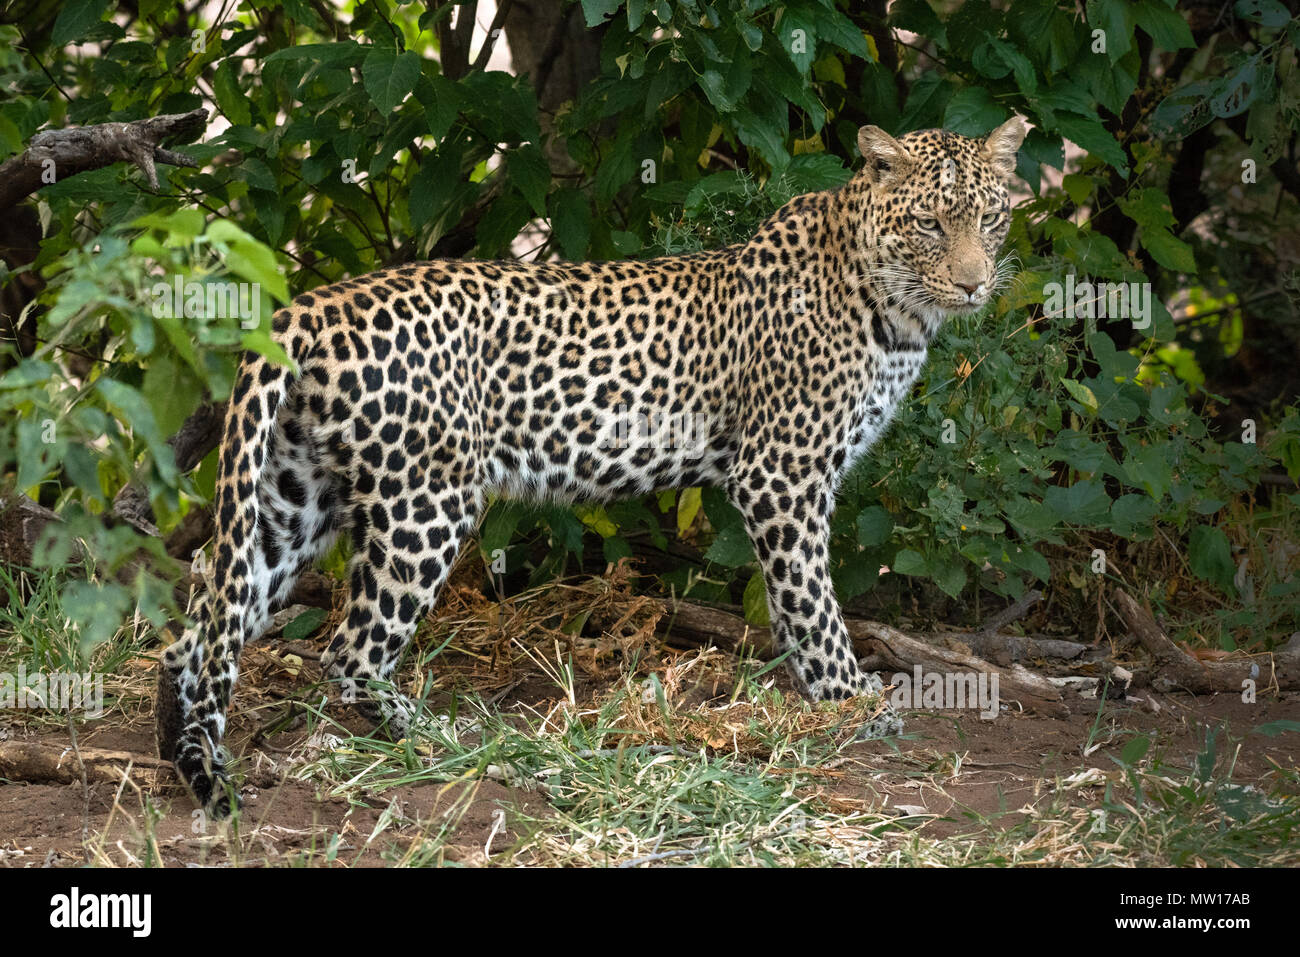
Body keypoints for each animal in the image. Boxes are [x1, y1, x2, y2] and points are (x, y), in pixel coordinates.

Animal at [154, 113, 1024, 816]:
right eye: (930, 223)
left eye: (992, 217)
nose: (975, 284)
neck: (895, 306)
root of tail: (309, 306)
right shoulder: (784, 474)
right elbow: (811, 601)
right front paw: (847, 701)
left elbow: (794, 603)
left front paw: (826, 698)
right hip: (427, 500)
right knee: (350, 648)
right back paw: (439, 737)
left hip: (292, 495)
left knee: (201, 618)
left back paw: (179, 742)